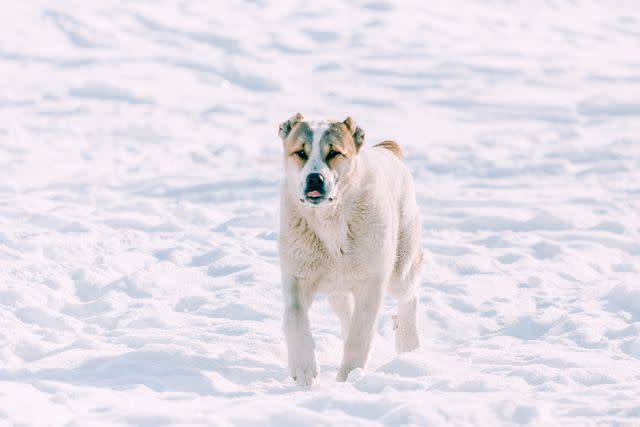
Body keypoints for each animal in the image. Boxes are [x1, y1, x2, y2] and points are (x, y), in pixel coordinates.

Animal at [278, 113, 422, 388]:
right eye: (300, 152)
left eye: (334, 152)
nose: (315, 178)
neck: (330, 218)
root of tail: (386, 149)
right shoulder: (297, 274)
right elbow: (294, 316)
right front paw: (303, 368)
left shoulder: (372, 282)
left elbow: (360, 333)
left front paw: (348, 376)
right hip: (338, 291)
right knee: (347, 313)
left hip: (400, 270)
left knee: (410, 294)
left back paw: (408, 344)